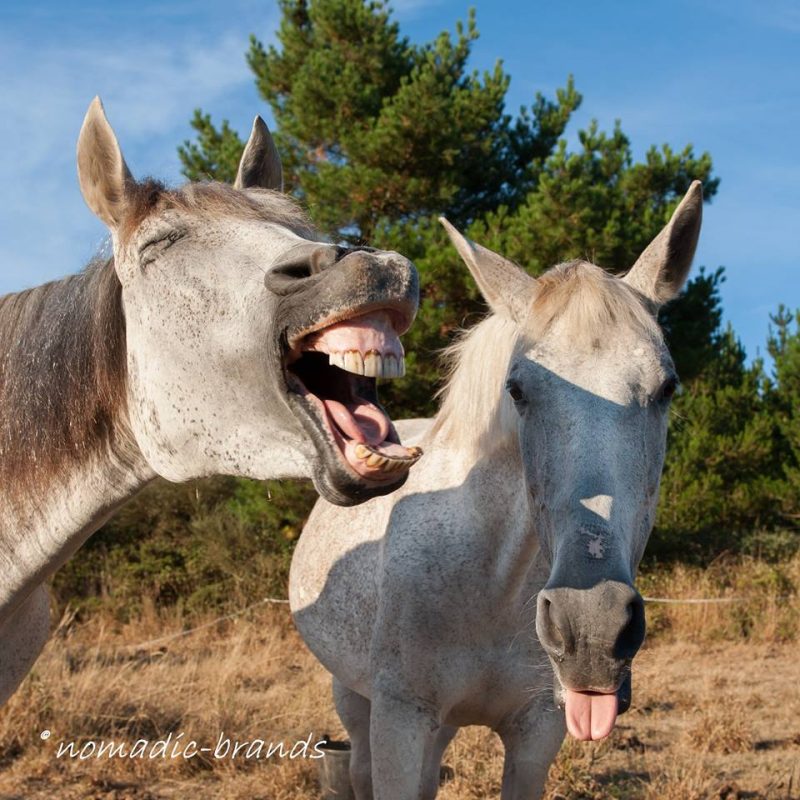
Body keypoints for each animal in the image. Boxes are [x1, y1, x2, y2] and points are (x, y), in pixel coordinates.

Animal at [290, 183, 704, 800]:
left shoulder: (537, 732)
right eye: (517, 389)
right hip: (354, 699)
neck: (492, 580)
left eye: (668, 387)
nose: (591, 625)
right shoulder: (399, 721)